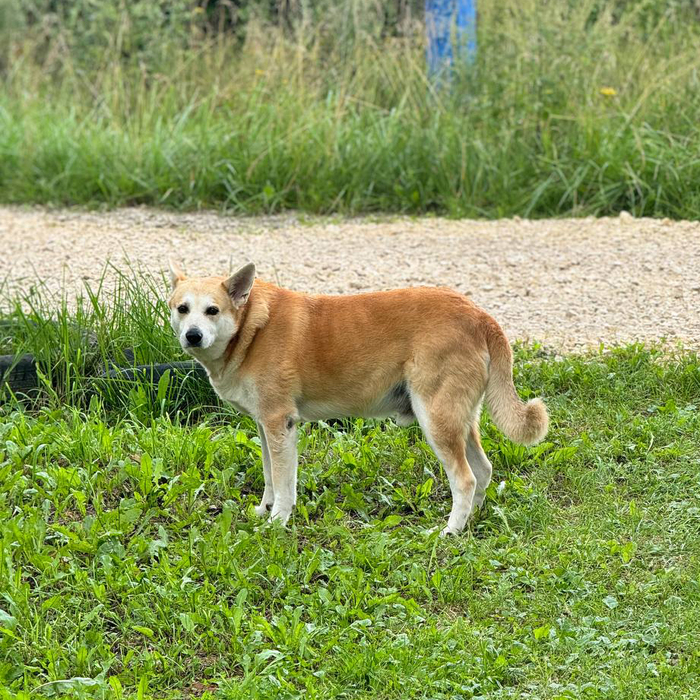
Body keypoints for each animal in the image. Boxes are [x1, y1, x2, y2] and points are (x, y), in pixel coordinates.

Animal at [168, 261, 548, 535]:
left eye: (213, 310)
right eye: (182, 309)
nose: (193, 335)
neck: (251, 328)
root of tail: (479, 315)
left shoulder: (280, 425)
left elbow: (285, 484)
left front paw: (277, 522)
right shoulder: (265, 427)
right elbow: (269, 477)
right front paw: (264, 511)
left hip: (436, 419)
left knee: (465, 479)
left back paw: (450, 532)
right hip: (459, 419)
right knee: (483, 471)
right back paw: (472, 520)